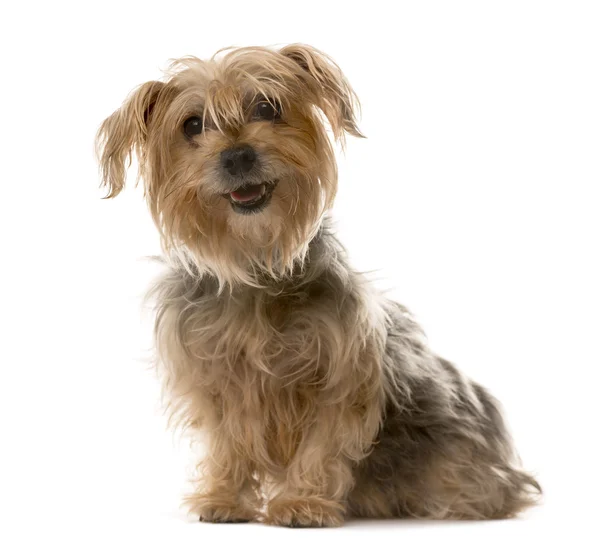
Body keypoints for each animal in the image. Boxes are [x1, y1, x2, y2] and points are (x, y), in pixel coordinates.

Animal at [97, 43, 540, 528]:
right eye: (192, 125)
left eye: (266, 107)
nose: (236, 156)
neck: (255, 264)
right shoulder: (214, 377)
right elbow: (229, 440)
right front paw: (225, 498)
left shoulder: (340, 373)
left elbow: (322, 443)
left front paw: (301, 504)